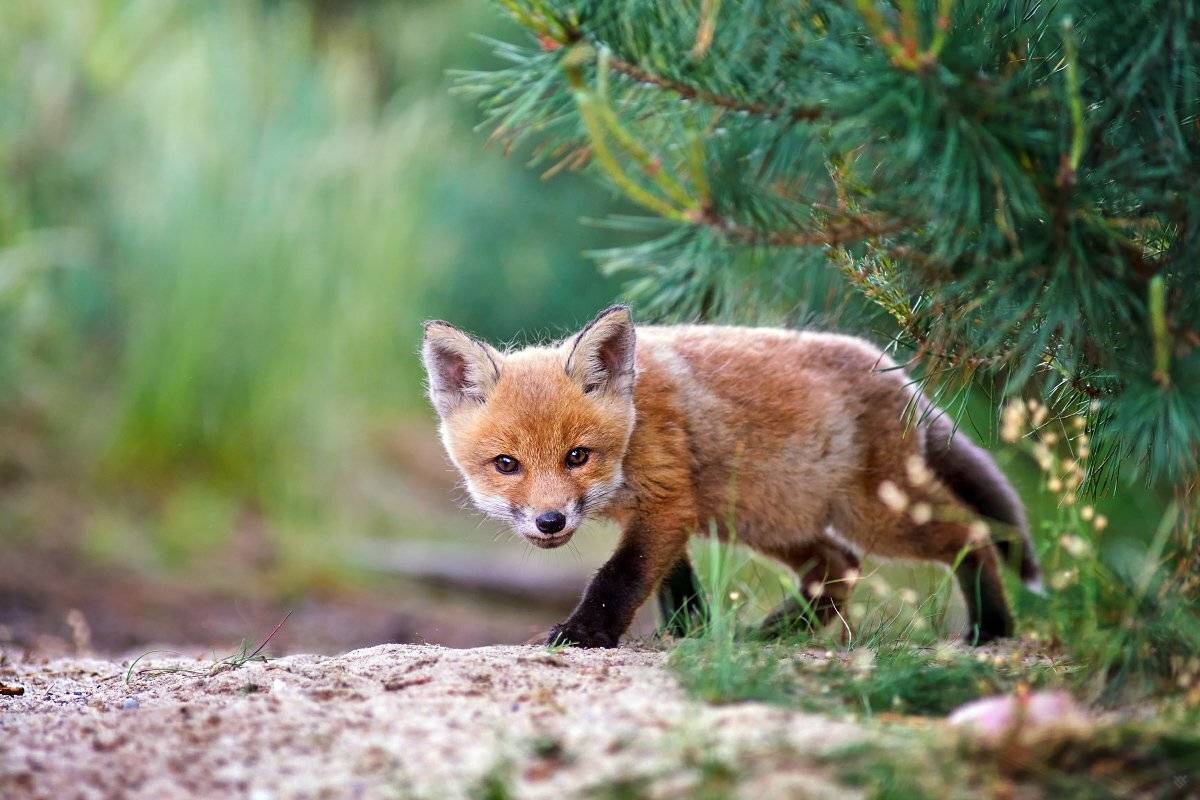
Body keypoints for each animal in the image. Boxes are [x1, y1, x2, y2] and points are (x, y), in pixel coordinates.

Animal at [421, 305, 1041, 648]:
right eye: (507, 465)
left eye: (577, 456)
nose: (549, 522)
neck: (634, 429)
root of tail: (898, 376)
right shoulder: (671, 511)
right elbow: (673, 583)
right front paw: (690, 632)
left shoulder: (668, 502)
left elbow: (619, 579)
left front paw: (583, 636)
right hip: (762, 518)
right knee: (838, 566)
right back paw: (771, 634)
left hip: (873, 516)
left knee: (969, 533)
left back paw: (991, 628)